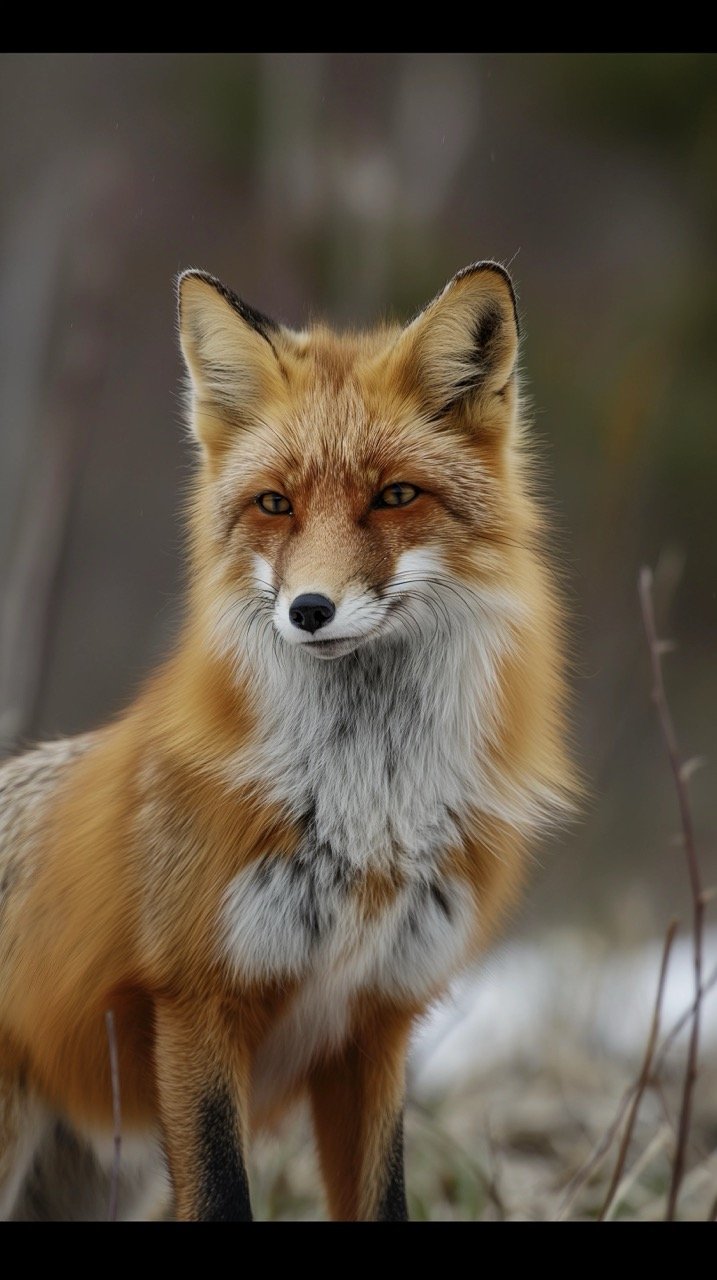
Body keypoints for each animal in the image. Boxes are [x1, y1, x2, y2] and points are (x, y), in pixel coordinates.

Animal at [0, 259, 573, 1218]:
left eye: (394, 495)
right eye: (275, 504)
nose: (309, 610)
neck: (367, 815)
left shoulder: (374, 1022)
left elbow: (383, 1200)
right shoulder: (197, 1004)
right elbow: (223, 1196)